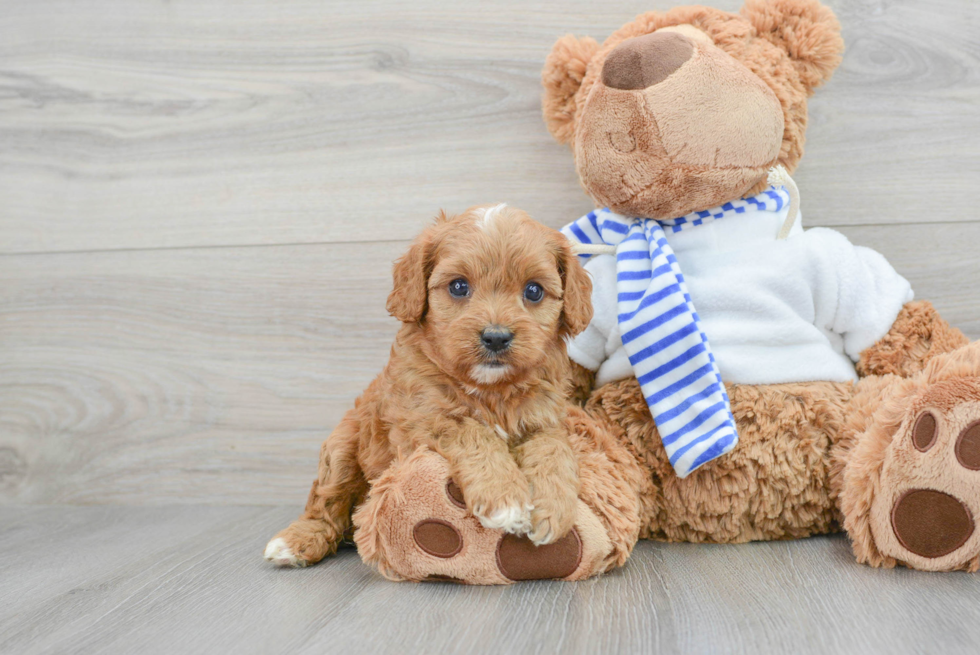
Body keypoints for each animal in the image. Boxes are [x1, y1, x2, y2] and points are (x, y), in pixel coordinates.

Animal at [264, 204, 592, 568]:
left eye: (533, 291)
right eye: (459, 286)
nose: (496, 337)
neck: (490, 390)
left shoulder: (543, 419)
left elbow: (554, 448)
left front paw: (554, 509)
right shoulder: (422, 420)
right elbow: (472, 431)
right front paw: (505, 499)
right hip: (341, 447)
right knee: (327, 501)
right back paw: (296, 542)